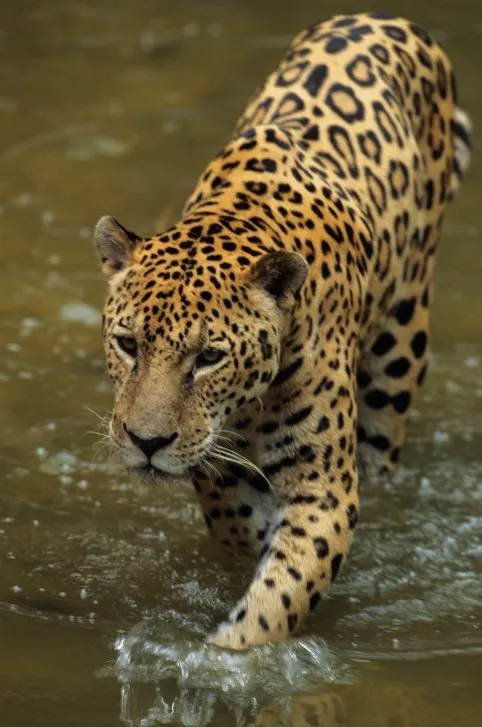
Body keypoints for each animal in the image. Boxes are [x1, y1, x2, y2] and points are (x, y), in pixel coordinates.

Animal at [93, 12, 472, 650]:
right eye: (127, 345)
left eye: (209, 357)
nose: (146, 443)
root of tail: (385, 18)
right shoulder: (216, 461)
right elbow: (234, 519)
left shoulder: (324, 488)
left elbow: (283, 590)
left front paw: (227, 657)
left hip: (400, 348)